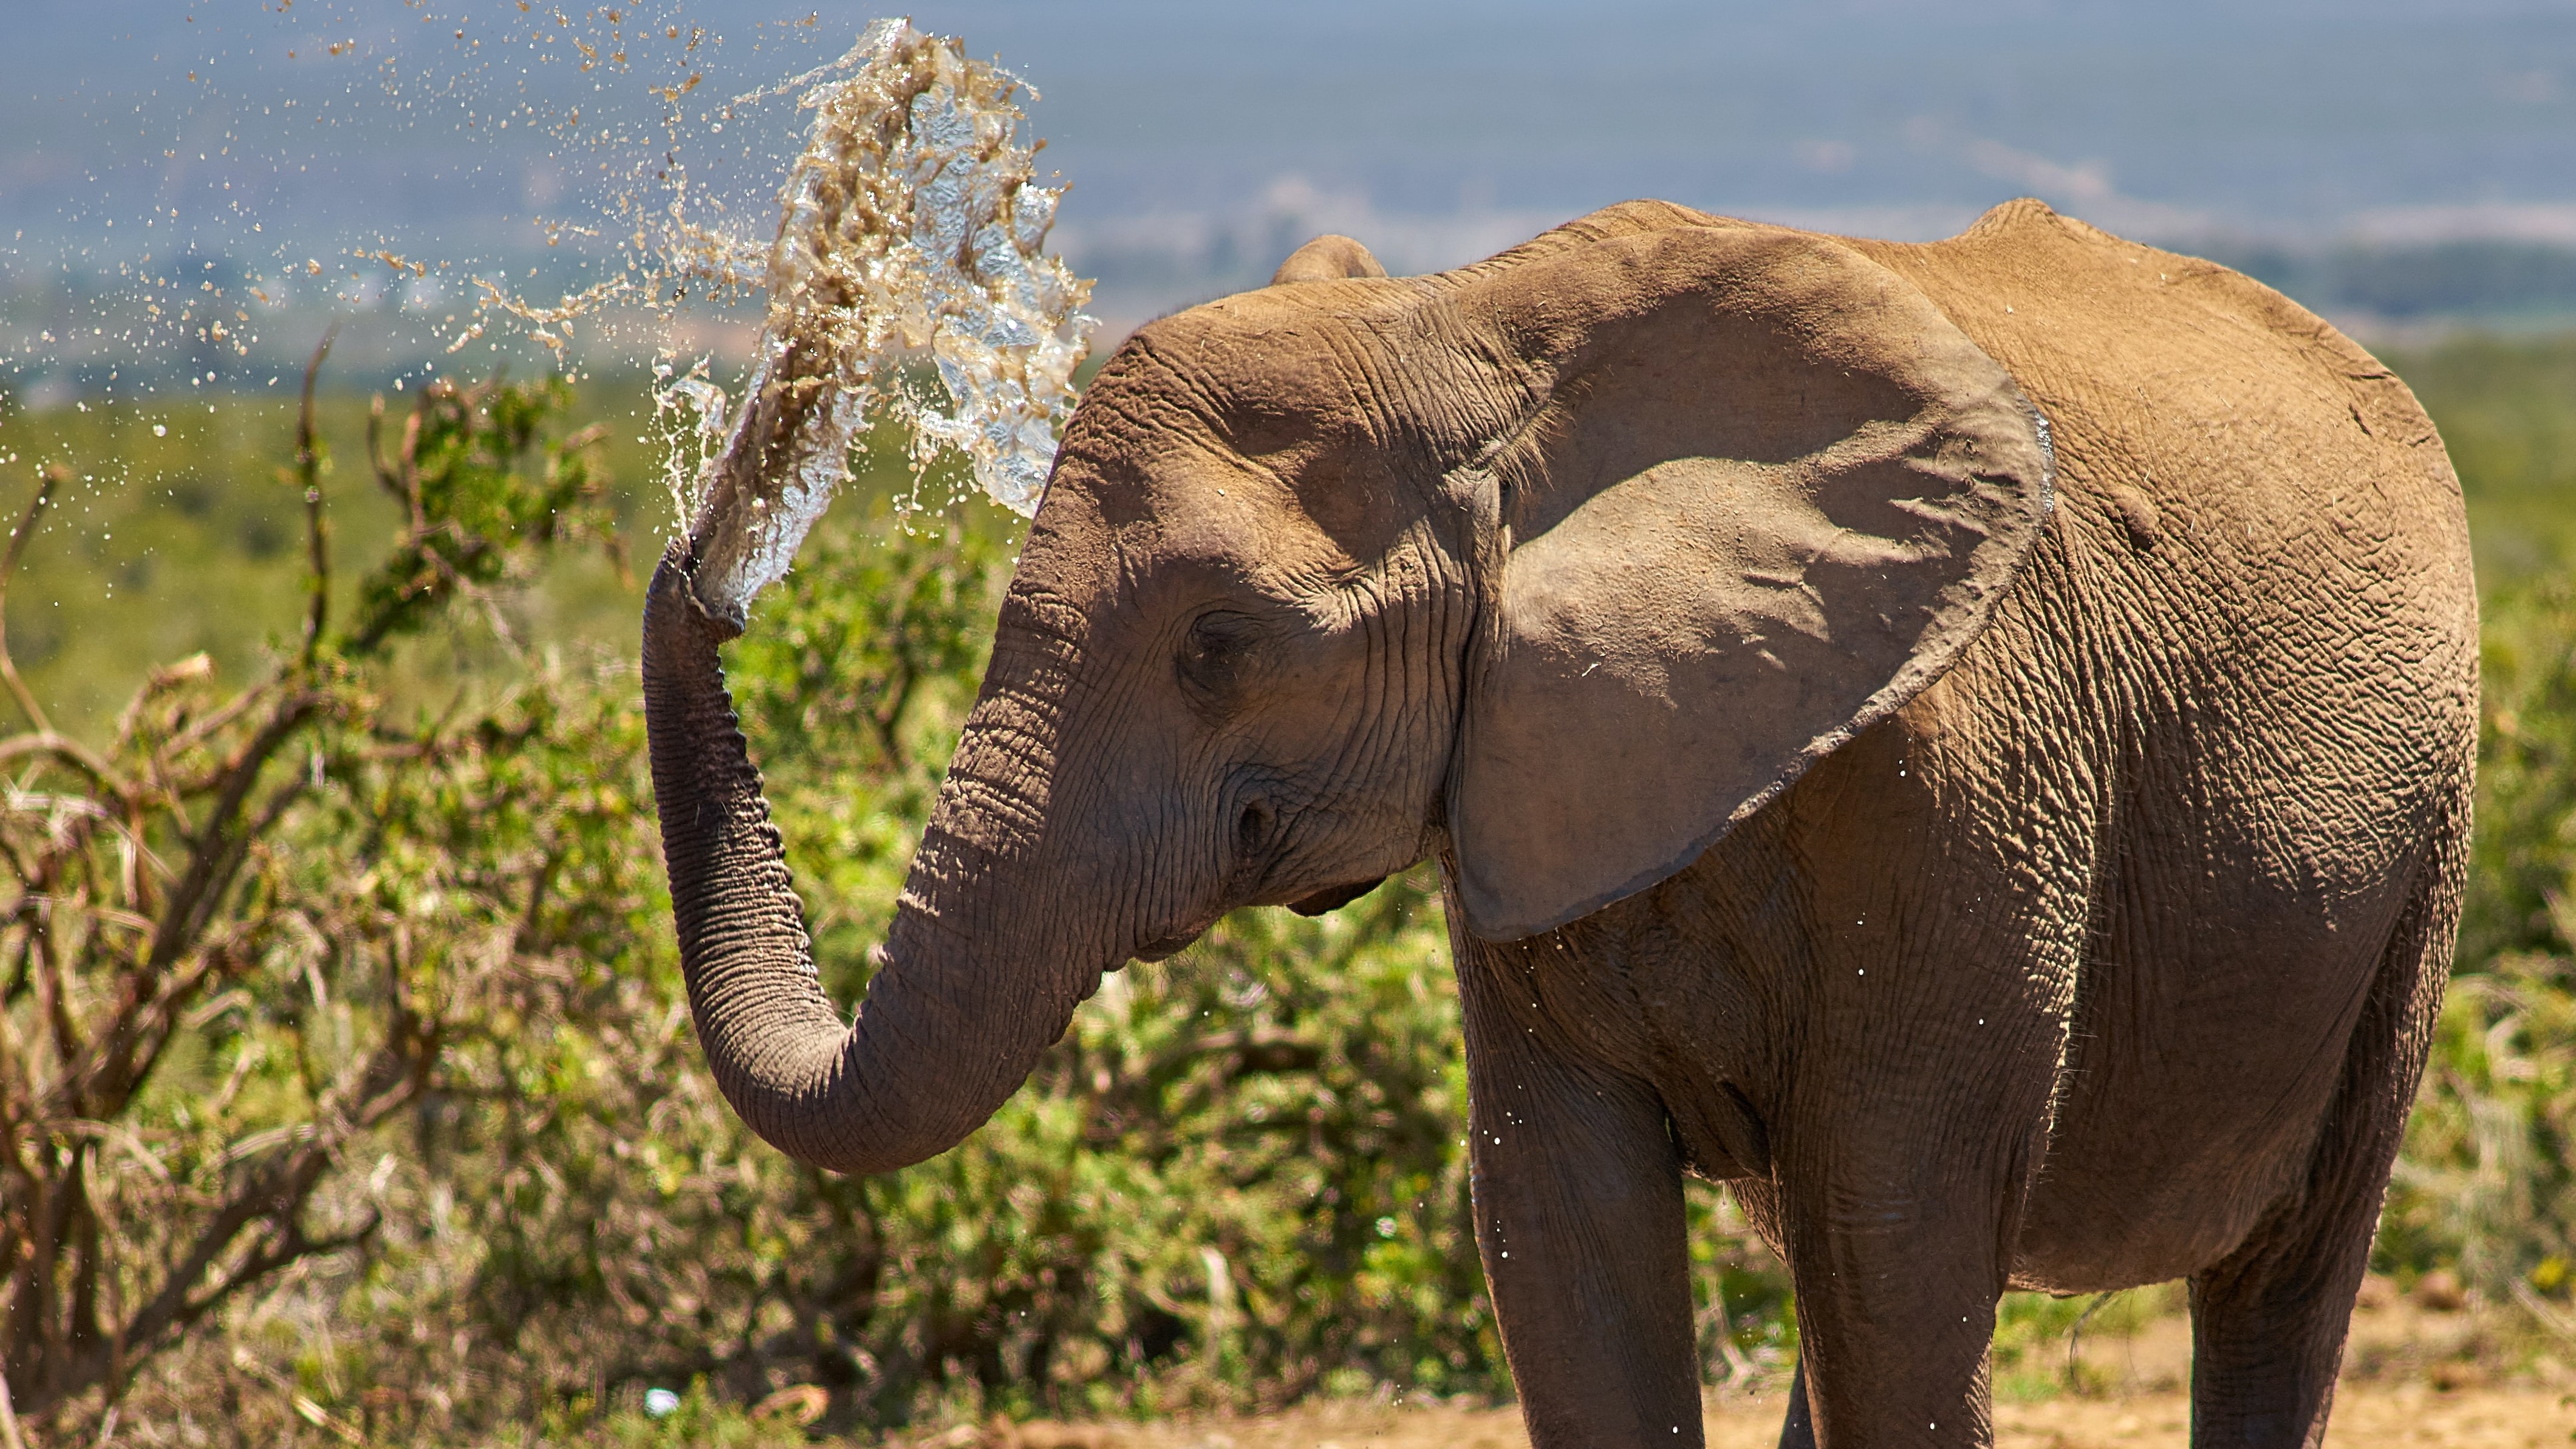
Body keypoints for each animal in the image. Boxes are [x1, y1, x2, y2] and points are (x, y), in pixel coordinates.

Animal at [641, 197, 2478, 1448]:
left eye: (1218, 645)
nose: (714, 555)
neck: (1469, 330)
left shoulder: (1960, 779)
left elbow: (1896, 1233)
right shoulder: (1521, 781)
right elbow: (1563, 1232)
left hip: (2418, 845)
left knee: (2273, 1277)